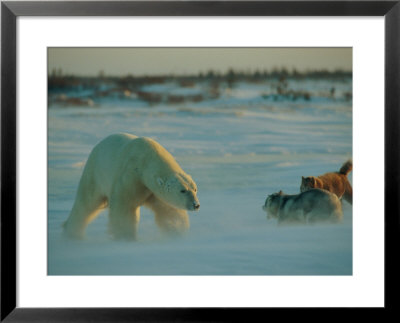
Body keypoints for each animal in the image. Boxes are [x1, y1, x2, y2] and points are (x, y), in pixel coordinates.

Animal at [64, 132, 200, 240]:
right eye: (183, 190)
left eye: (195, 189)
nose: (196, 205)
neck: (147, 159)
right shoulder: (131, 176)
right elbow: (124, 208)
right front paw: (126, 237)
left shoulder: (153, 190)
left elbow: (169, 210)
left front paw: (178, 233)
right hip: (96, 173)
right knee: (86, 202)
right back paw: (71, 233)